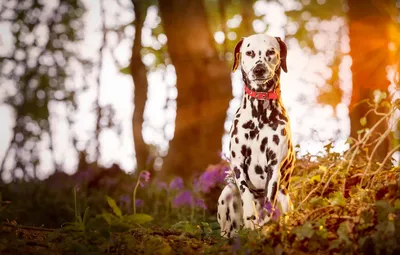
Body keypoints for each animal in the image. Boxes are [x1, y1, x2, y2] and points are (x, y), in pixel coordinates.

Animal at [217, 33, 296, 237]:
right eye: (250, 53)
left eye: (271, 52)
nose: (259, 70)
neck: (260, 113)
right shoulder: (238, 163)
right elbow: (246, 195)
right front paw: (251, 220)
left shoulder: (274, 167)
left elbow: (268, 204)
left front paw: (263, 224)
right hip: (227, 192)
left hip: (286, 200)